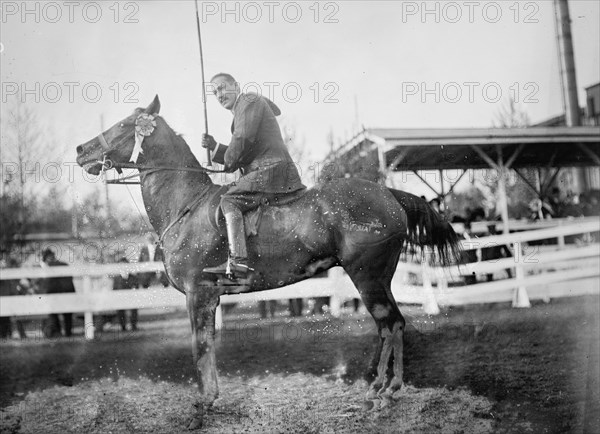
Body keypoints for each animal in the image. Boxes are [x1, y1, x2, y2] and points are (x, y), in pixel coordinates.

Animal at [75, 95, 460, 428]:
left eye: (124, 124)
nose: (81, 150)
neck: (187, 205)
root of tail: (389, 193)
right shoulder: (208, 298)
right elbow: (208, 346)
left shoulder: (198, 295)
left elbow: (200, 349)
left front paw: (202, 406)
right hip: (379, 279)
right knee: (392, 325)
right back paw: (380, 389)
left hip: (367, 277)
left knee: (389, 324)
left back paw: (385, 391)